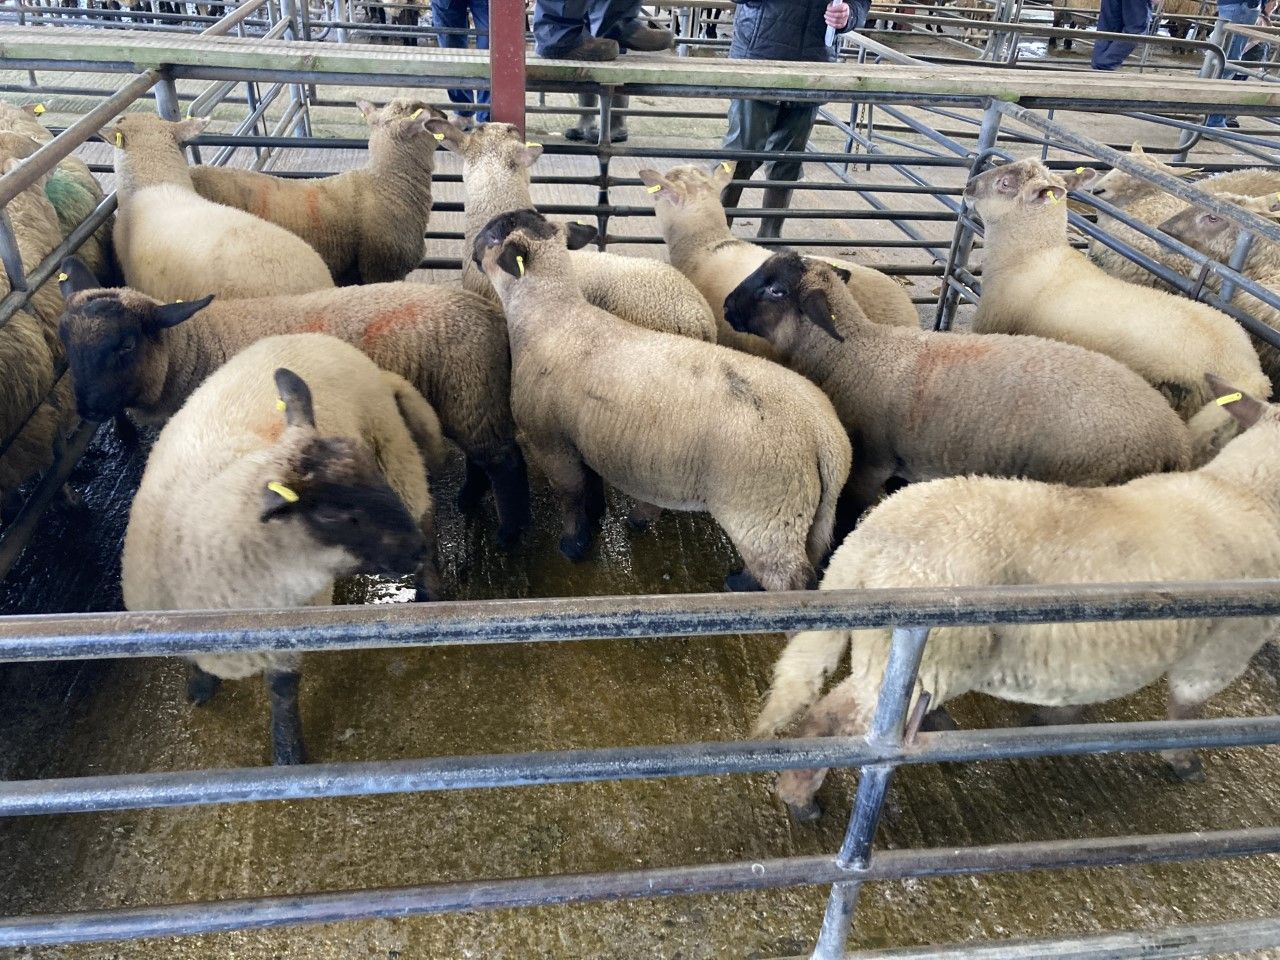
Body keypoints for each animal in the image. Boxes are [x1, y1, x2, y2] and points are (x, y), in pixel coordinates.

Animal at [56, 258, 531, 543]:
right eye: (65, 340)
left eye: (126, 344)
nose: (88, 409)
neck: (197, 350)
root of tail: (490, 314)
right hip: (469, 398)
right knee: (482, 458)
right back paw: (468, 499)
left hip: (472, 388)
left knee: (506, 464)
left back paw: (509, 535)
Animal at [122, 333, 434, 765]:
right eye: (332, 514)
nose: (416, 550)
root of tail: (314, 336)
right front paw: (200, 686)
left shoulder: (288, 635)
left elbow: (283, 692)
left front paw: (288, 751)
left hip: (396, 452)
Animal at [474, 208, 851, 590]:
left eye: (491, 237)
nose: (473, 247)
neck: (550, 315)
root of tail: (827, 437)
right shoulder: (579, 434)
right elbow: (591, 484)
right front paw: (595, 519)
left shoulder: (550, 441)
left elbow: (571, 494)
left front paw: (573, 543)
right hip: (809, 517)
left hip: (766, 513)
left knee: (786, 576)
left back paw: (741, 586)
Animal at [757, 373, 1280, 821]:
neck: (1243, 491)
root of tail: (868, 540)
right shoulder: (1225, 644)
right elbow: (1187, 710)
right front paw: (1183, 759)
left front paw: (1057, 719)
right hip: (917, 660)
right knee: (833, 721)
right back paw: (801, 799)